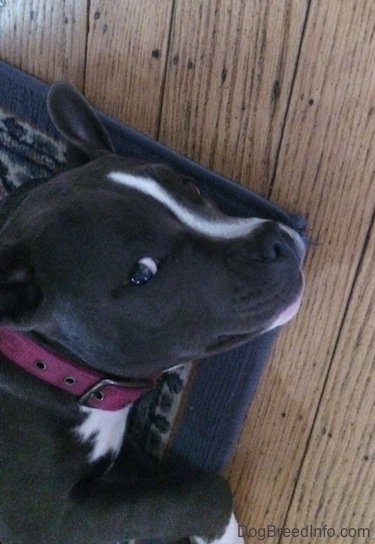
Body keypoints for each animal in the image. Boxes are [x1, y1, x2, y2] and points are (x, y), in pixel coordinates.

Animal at [0, 82, 306, 544]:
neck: (45, 362)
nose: (277, 242)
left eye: (190, 186)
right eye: (141, 274)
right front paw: (225, 533)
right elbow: (197, 491)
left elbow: (161, 486)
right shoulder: (56, 522)